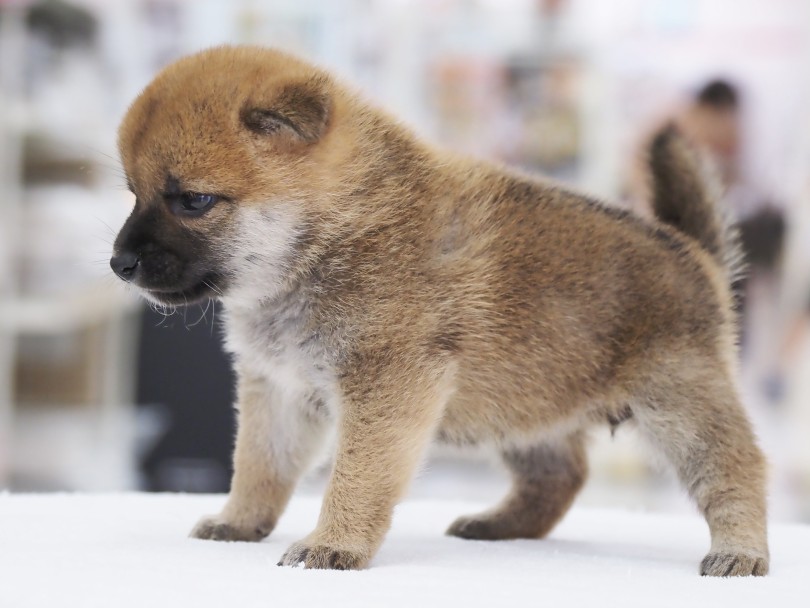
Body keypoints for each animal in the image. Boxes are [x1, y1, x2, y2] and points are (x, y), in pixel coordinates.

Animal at [110, 46, 768, 576]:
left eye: (194, 201)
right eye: (133, 195)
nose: (119, 262)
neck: (338, 228)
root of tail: (692, 252)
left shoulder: (387, 386)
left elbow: (357, 476)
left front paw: (334, 543)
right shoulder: (277, 389)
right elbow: (258, 465)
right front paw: (240, 520)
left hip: (681, 404)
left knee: (737, 468)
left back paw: (741, 550)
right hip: (529, 406)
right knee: (559, 476)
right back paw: (498, 525)